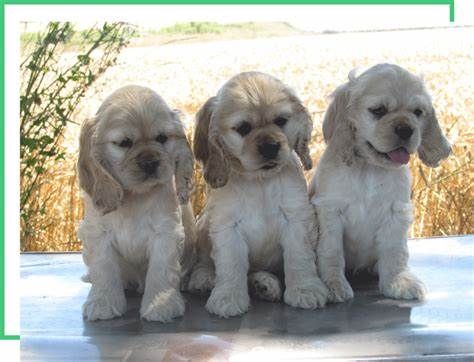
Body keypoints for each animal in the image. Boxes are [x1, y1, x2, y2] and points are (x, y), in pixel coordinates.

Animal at [78, 85, 195, 322]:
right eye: (124, 143)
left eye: (162, 138)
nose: (150, 162)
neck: (135, 196)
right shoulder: (97, 233)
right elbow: (103, 269)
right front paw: (102, 303)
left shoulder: (165, 233)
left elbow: (161, 270)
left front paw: (161, 305)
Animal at [187, 70, 328, 316]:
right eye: (243, 128)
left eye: (281, 121)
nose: (271, 146)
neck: (259, 182)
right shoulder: (227, 227)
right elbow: (231, 264)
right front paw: (228, 298)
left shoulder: (296, 219)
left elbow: (299, 257)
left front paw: (306, 290)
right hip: (204, 225)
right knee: (205, 260)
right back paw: (204, 278)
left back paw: (264, 284)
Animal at [310, 64, 450, 302]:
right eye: (378, 110)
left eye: (417, 112)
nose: (405, 129)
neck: (370, 168)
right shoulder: (330, 210)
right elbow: (331, 251)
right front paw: (333, 285)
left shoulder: (397, 212)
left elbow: (395, 252)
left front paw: (399, 282)